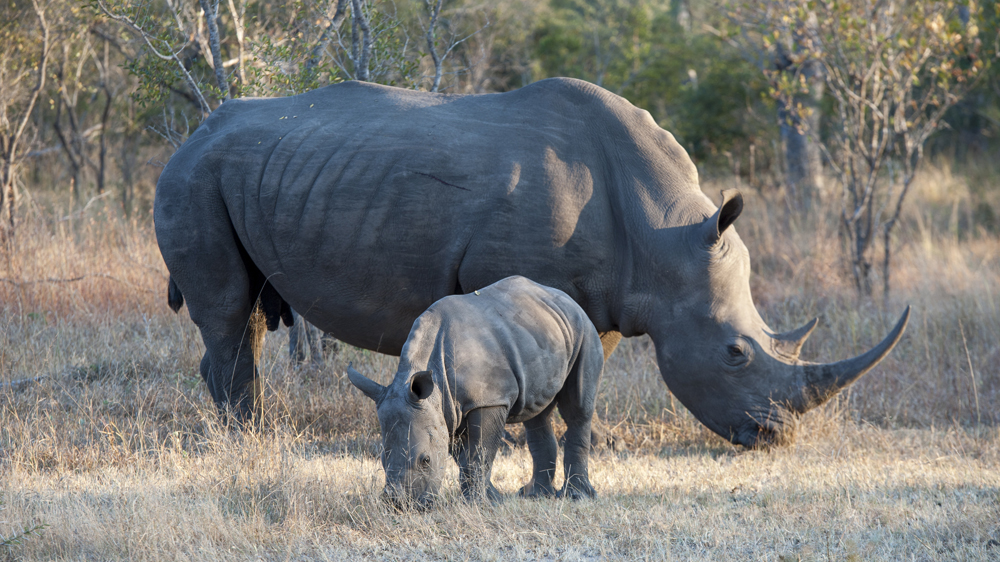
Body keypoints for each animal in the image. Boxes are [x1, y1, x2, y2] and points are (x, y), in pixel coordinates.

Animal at [155, 77, 909, 448]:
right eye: (735, 354)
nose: (777, 438)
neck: (662, 235)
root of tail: (191, 134)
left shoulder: (604, 296)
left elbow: (578, 368)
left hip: (248, 173)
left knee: (249, 313)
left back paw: (247, 428)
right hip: (192, 178)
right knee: (229, 312)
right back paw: (247, 439)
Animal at [347, 275, 604, 507]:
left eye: (425, 460)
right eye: (381, 458)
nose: (399, 505)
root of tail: (565, 298)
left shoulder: (489, 400)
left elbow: (480, 453)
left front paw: (476, 503)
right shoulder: (444, 410)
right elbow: (464, 458)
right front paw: (492, 499)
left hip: (584, 329)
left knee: (577, 408)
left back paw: (577, 496)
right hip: (542, 331)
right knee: (536, 413)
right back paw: (536, 495)